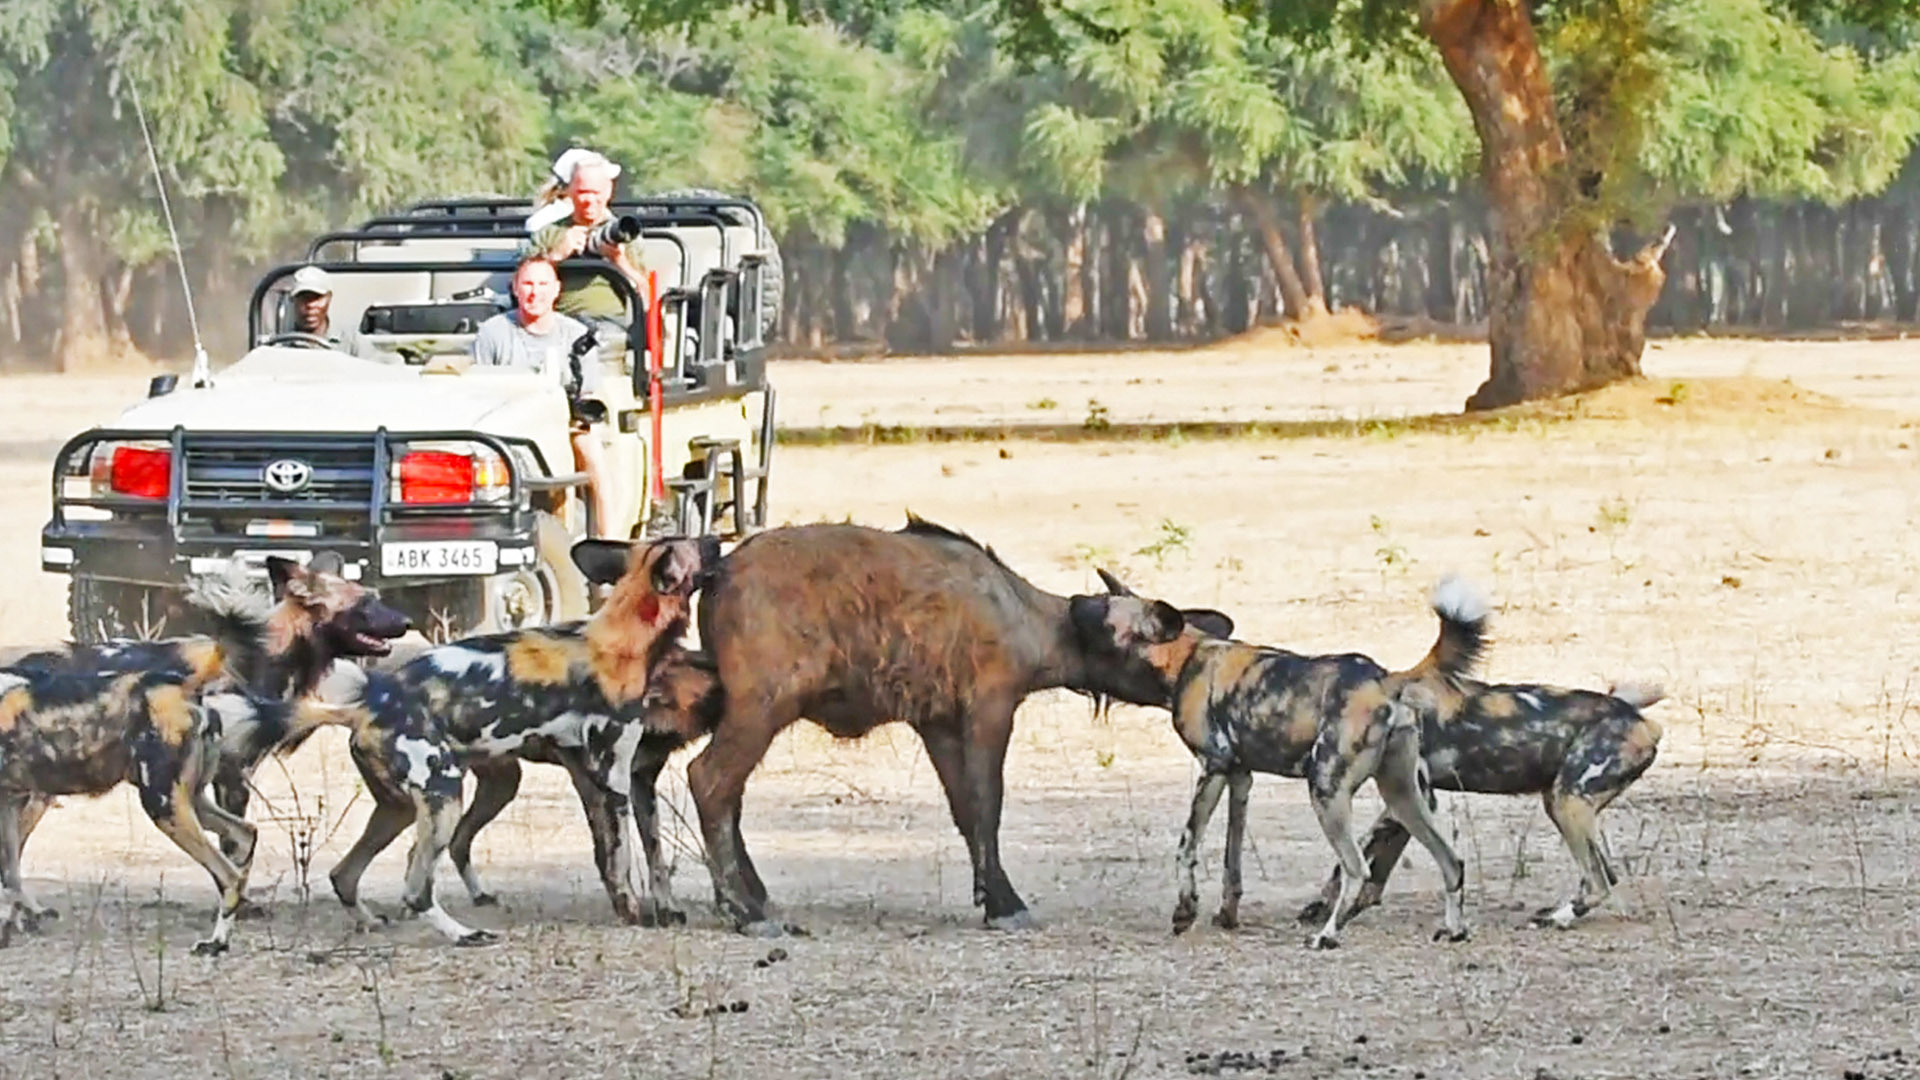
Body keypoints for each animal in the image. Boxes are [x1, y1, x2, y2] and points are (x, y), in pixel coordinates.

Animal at [1, 553, 408, 949]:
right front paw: (237, 909)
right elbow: (230, 855)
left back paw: (26, 915)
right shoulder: (230, 779)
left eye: (373, 597)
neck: (265, 655)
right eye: (365, 603)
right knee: (14, 858)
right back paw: (25, 914)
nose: (405, 620)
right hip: (51, 791)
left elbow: (237, 852)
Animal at [322, 534, 721, 937]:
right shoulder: (613, 779)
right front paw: (634, 912)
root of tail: (370, 703)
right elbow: (620, 858)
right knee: (416, 890)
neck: (625, 639)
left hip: (403, 809)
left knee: (345, 874)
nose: (717, 538)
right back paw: (465, 935)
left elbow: (639, 855)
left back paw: (373, 921)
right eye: (697, 547)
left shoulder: (619, 780)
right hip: (444, 797)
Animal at [1075, 568, 1474, 945]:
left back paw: (1327, 936)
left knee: (1357, 869)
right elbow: (1231, 860)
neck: (1185, 658)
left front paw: (1185, 912)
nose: (1075, 606)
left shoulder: (1213, 768)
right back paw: (1454, 929)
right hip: (1402, 795)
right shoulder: (1240, 776)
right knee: (1452, 862)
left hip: (1326, 791)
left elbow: (1186, 846)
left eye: (1103, 621)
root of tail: (1385, 679)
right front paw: (1226, 916)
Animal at [1297, 576, 1674, 930]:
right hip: (1561, 803)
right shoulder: (1405, 798)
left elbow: (1358, 856)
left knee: (1600, 883)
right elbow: (1371, 863)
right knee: (1604, 875)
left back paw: (1555, 918)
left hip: (1568, 802)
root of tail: (1638, 718)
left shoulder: (1413, 793)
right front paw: (1340, 907)